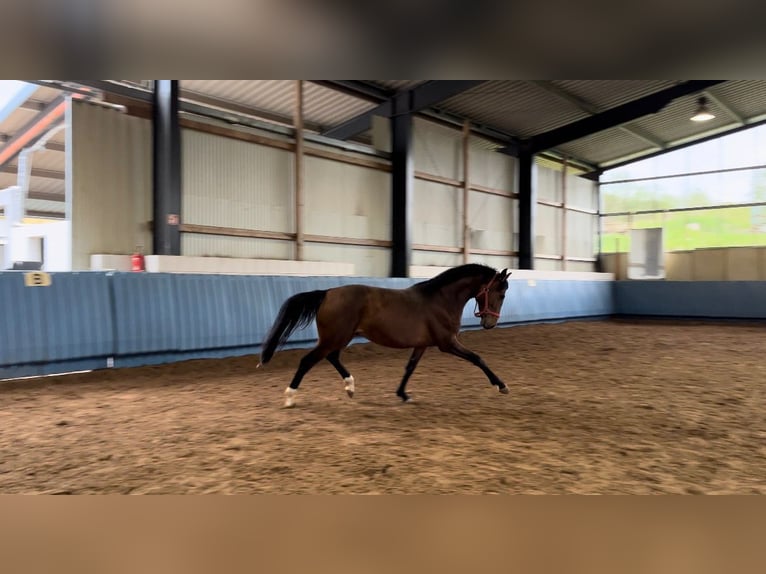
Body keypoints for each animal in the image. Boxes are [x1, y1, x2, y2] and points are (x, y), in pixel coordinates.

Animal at [258, 264, 511, 407]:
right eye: (500, 293)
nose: (490, 323)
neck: (441, 299)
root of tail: (327, 293)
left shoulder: (422, 345)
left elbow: (409, 368)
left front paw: (403, 395)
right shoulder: (447, 343)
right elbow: (477, 358)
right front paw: (501, 386)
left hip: (341, 337)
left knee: (332, 357)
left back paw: (350, 387)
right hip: (334, 338)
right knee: (307, 360)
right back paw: (290, 397)